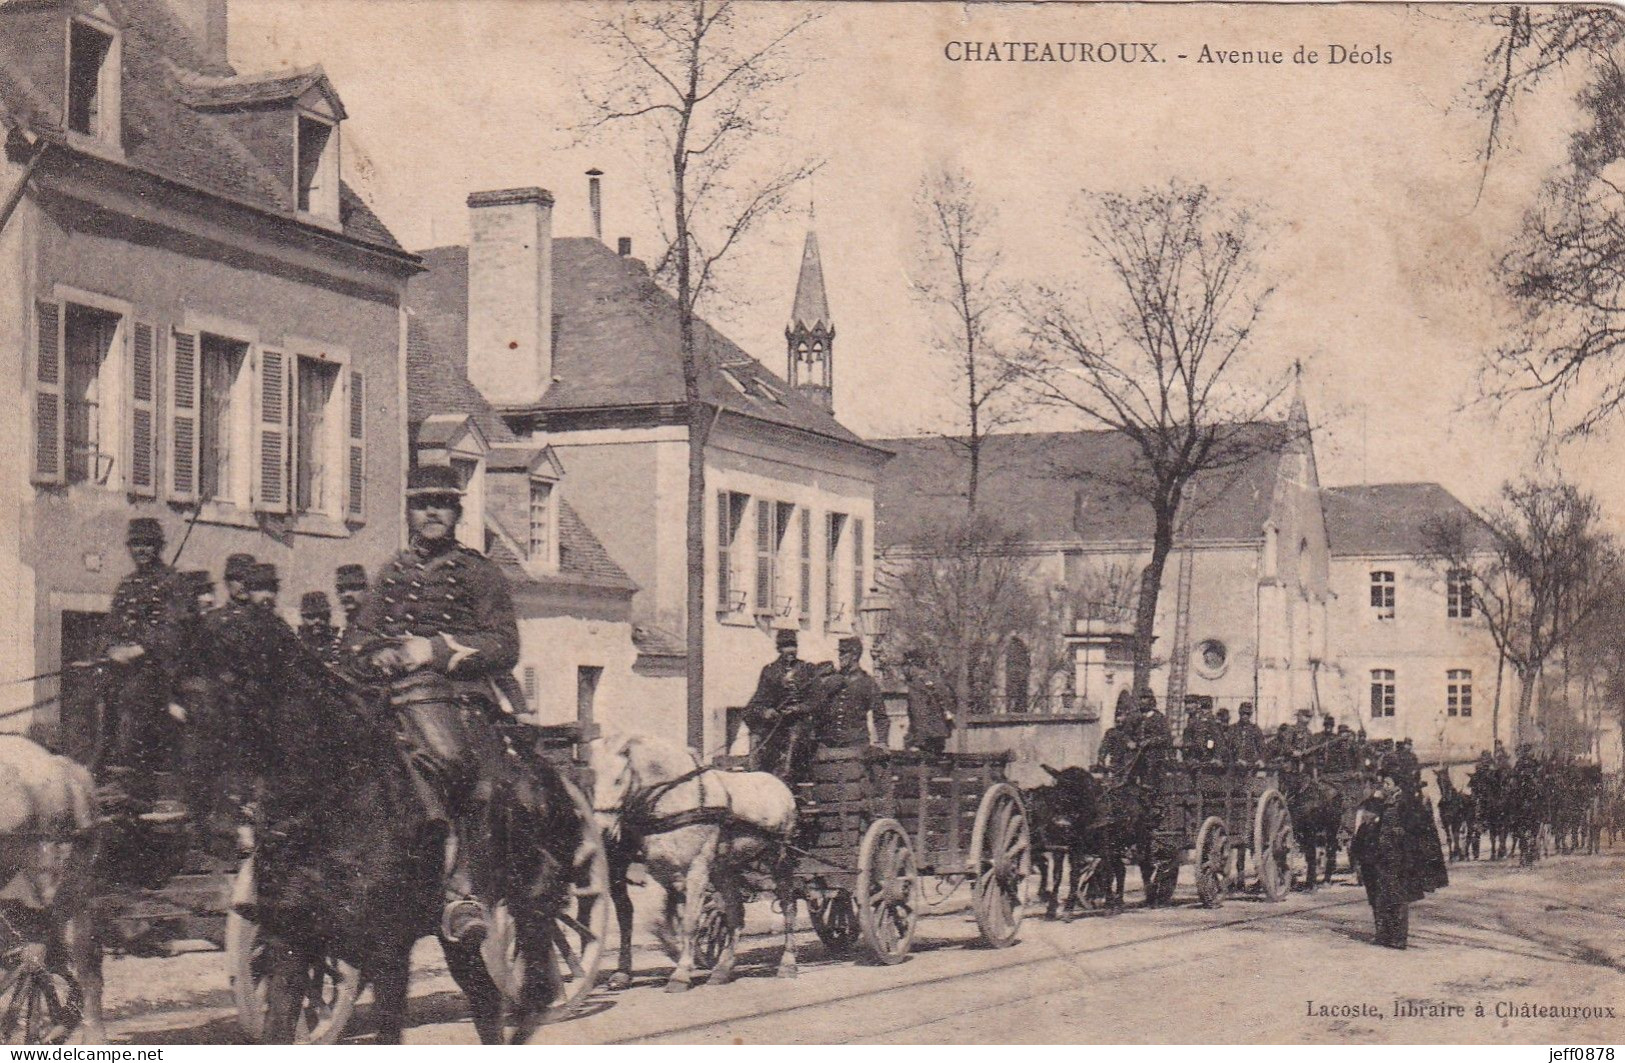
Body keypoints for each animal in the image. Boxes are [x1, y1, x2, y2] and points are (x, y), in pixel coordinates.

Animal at [216, 604, 585, 1046]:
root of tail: (546, 774)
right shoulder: (293, 938)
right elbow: (279, 1025)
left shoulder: (388, 948)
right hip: (457, 937)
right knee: (484, 998)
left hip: (533, 905)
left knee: (536, 985)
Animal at [594, 734, 802, 988]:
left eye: (617, 780)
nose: (602, 831)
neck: (677, 799)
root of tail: (778, 784)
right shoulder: (660, 871)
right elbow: (658, 918)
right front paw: (678, 955)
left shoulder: (697, 869)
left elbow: (690, 921)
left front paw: (682, 973)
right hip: (725, 869)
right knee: (736, 913)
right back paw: (722, 970)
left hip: (780, 860)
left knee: (789, 906)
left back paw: (788, 964)